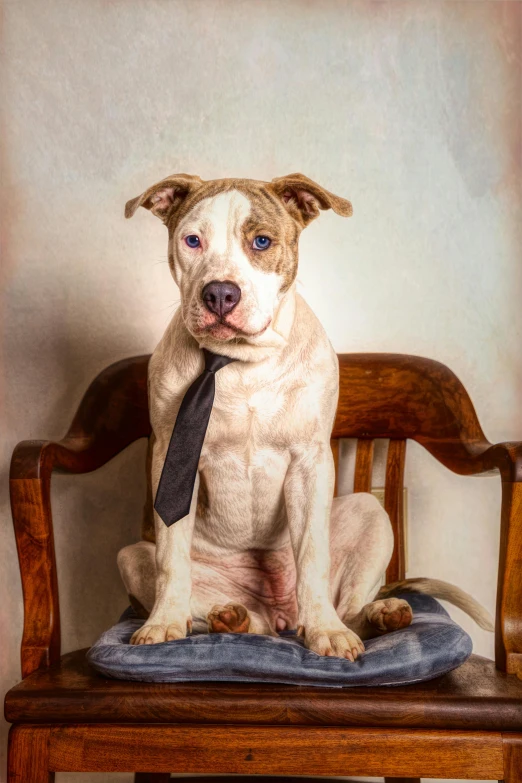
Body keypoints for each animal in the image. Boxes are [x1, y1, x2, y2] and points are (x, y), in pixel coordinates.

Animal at [118, 175, 492, 660]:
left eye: (261, 241)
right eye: (192, 240)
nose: (219, 293)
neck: (241, 363)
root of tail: (280, 613)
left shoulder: (309, 461)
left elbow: (313, 554)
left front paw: (326, 631)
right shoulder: (172, 458)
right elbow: (171, 556)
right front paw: (163, 621)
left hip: (370, 511)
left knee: (350, 604)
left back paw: (379, 614)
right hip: (133, 558)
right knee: (241, 617)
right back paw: (231, 619)